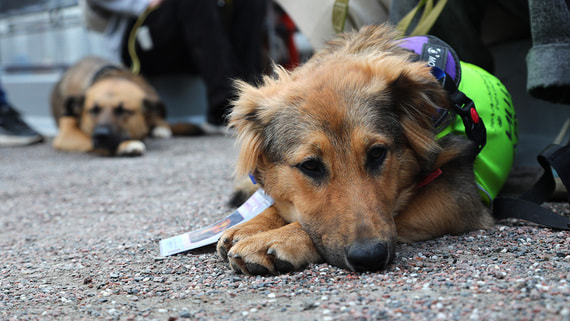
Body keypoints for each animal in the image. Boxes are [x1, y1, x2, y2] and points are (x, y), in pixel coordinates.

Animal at [51, 56, 201, 156]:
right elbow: (91, 140)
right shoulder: (67, 133)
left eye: (122, 110)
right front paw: (126, 145)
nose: (101, 134)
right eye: (93, 110)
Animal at [215, 24, 494, 276]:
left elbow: (397, 211)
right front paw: (253, 224)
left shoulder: (458, 195)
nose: (370, 257)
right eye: (310, 165)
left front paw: (277, 238)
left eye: (377, 153)